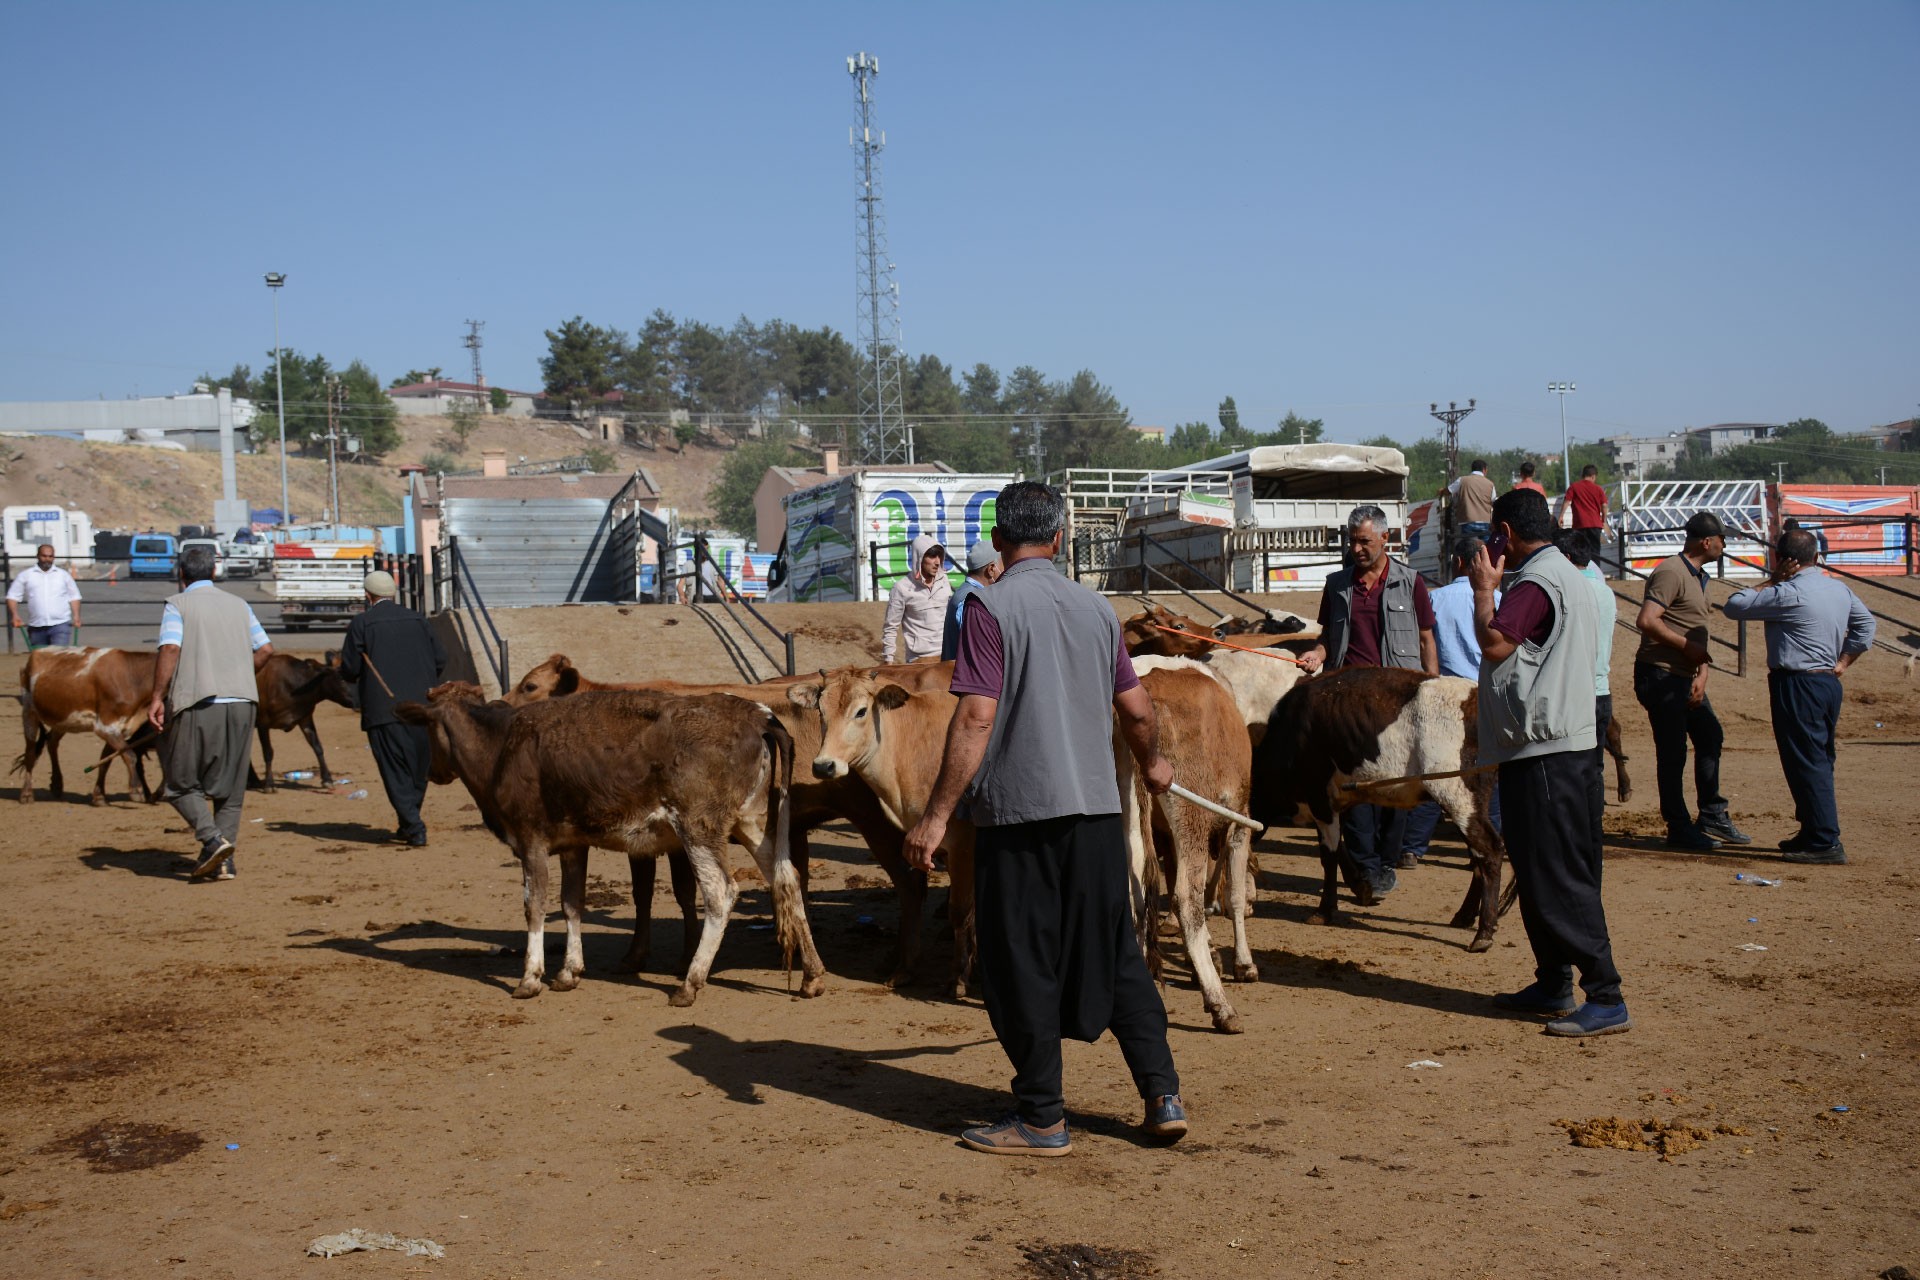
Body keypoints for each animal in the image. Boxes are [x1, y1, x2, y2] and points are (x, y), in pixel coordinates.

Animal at [13, 644, 158, 805]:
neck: (134, 676)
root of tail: (36, 652)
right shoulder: (105, 726)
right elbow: (129, 754)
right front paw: (136, 790)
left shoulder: (118, 729)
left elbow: (106, 760)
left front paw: (99, 796)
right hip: (29, 711)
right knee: (30, 753)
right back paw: (26, 794)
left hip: (63, 720)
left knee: (51, 743)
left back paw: (57, 784)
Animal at [249, 652, 359, 790]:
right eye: (341, 678)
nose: (359, 703)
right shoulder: (263, 723)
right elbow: (268, 752)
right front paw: (269, 784)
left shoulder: (305, 718)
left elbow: (317, 746)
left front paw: (327, 779)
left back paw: (254, 780)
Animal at [397, 687, 825, 1005]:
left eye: (428, 729)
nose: (432, 772)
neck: (502, 747)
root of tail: (756, 713)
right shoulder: (573, 845)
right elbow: (571, 902)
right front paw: (569, 971)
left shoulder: (531, 840)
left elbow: (534, 906)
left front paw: (531, 978)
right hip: (752, 821)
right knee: (786, 879)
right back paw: (812, 976)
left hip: (698, 827)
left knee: (721, 892)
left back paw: (689, 983)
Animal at [1251, 671, 1505, 951]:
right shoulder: (1333, 804)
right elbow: (1340, 850)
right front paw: (1361, 888)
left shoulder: (1320, 799)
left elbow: (1328, 857)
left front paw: (1325, 911)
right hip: (1468, 803)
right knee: (1478, 856)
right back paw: (1465, 915)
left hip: (1455, 795)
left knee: (1490, 851)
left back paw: (1484, 933)